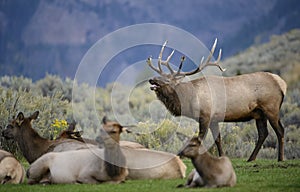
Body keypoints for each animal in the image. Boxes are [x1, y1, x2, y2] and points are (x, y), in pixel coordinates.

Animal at [149, 39, 288, 162]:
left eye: (168, 80)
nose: (152, 79)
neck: (190, 100)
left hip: (271, 108)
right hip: (259, 113)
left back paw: (280, 158)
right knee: (263, 133)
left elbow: (200, 139)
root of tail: (282, 83)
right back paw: (251, 158)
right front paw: (222, 157)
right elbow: (218, 139)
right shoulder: (214, 119)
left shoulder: (205, 115)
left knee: (280, 130)